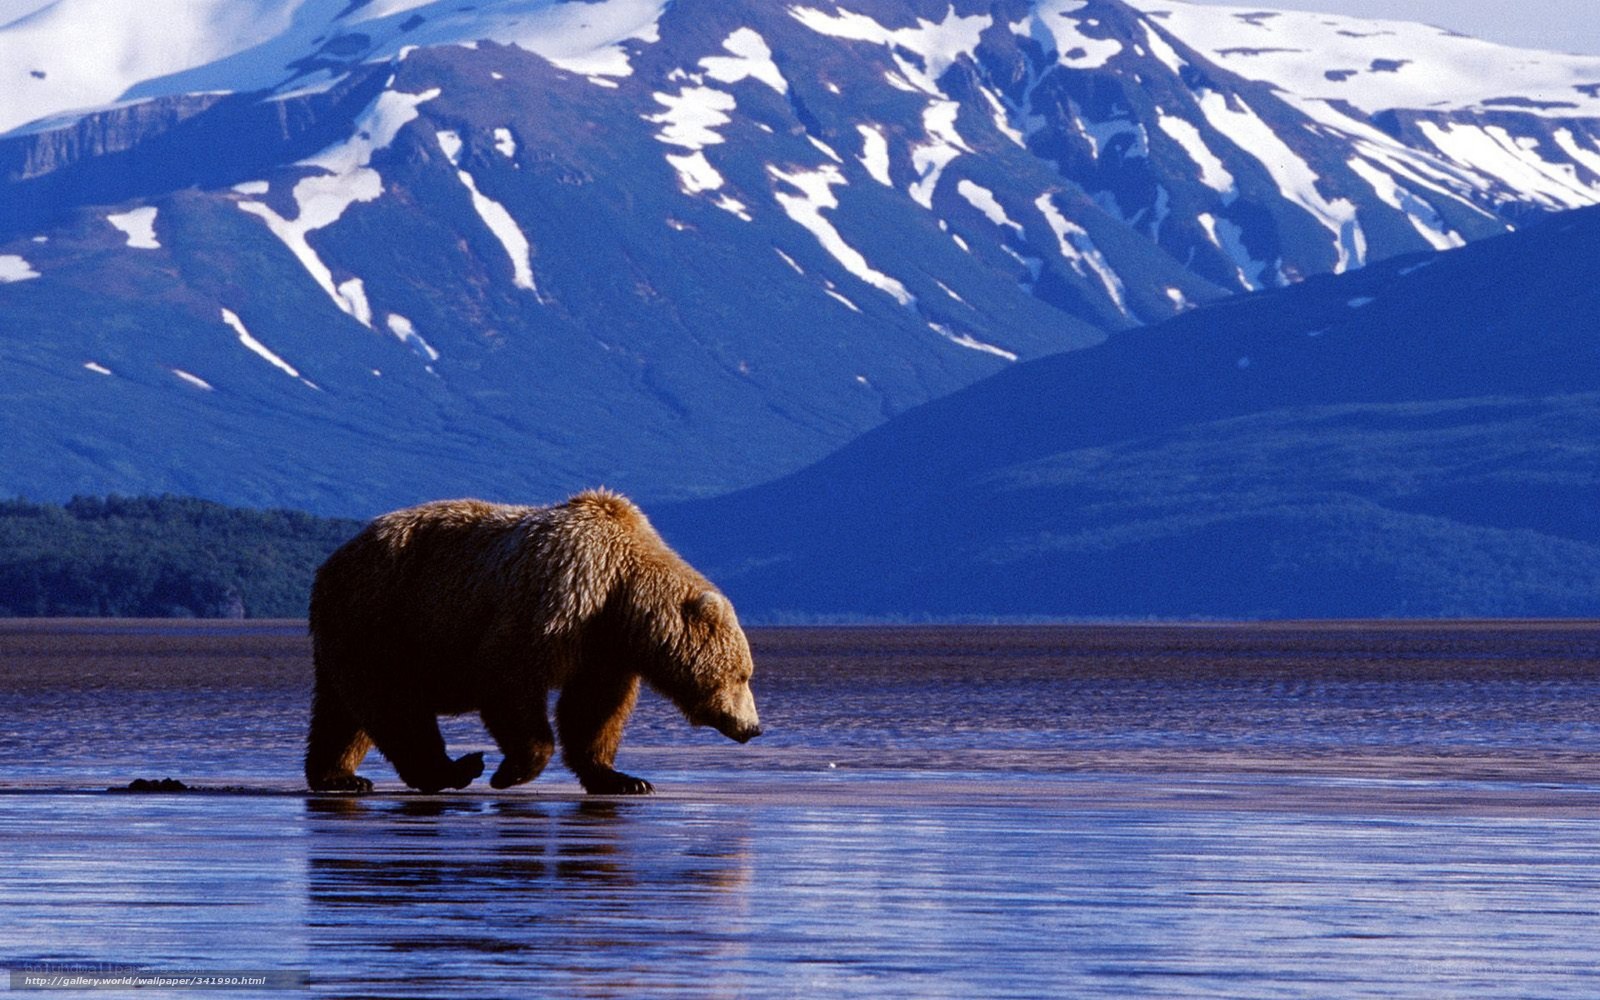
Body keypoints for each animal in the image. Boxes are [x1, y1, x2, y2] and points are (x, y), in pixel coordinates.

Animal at [304, 489, 761, 795]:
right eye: (742, 674)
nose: (753, 727)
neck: (620, 593)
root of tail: (332, 562)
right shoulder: (558, 602)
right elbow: (508, 677)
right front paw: (512, 770)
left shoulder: (604, 649)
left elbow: (594, 710)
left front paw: (623, 778)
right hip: (385, 617)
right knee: (394, 703)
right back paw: (453, 769)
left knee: (341, 713)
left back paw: (338, 776)